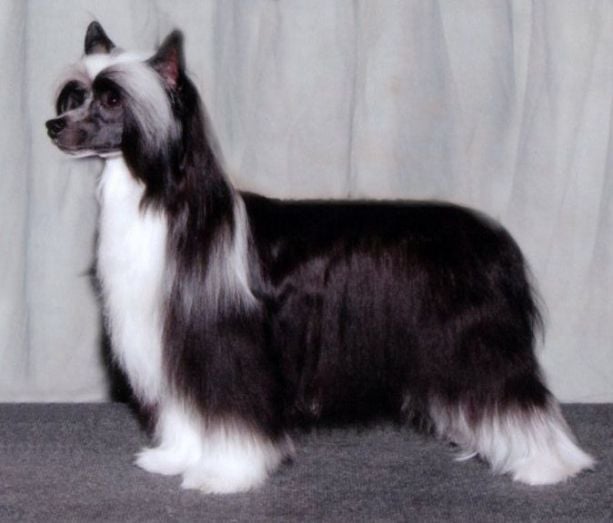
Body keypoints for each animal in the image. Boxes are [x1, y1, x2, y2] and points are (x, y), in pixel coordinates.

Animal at [46, 22, 594, 493]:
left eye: (113, 98)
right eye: (76, 97)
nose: (53, 125)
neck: (167, 205)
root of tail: (493, 238)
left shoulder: (226, 345)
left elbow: (231, 417)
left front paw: (224, 475)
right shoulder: (175, 343)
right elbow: (186, 414)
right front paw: (175, 458)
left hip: (477, 341)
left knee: (520, 400)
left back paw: (547, 467)